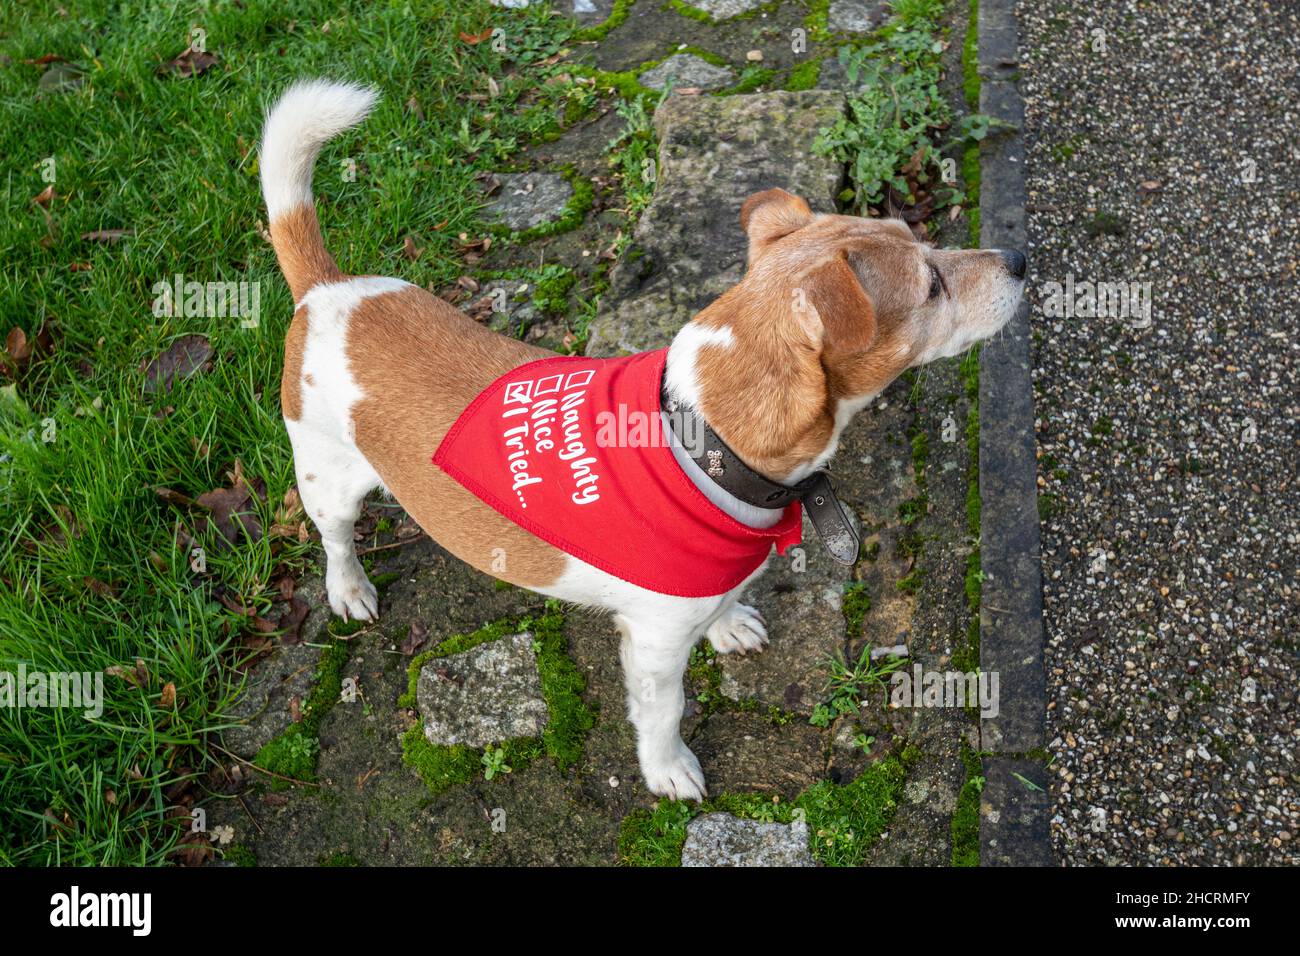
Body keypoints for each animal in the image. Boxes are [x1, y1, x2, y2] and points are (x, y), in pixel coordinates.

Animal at [256, 80, 1024, 801]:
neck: (706, 441)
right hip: (327, 483)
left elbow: (723, 603)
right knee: (336, 541)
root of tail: (326, 287)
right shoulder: (654, 649)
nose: (1018, 258)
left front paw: (728, 625)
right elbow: (662, 715)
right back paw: (349, 589)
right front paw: (668, 770)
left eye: (921, 239)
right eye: (931, 285)